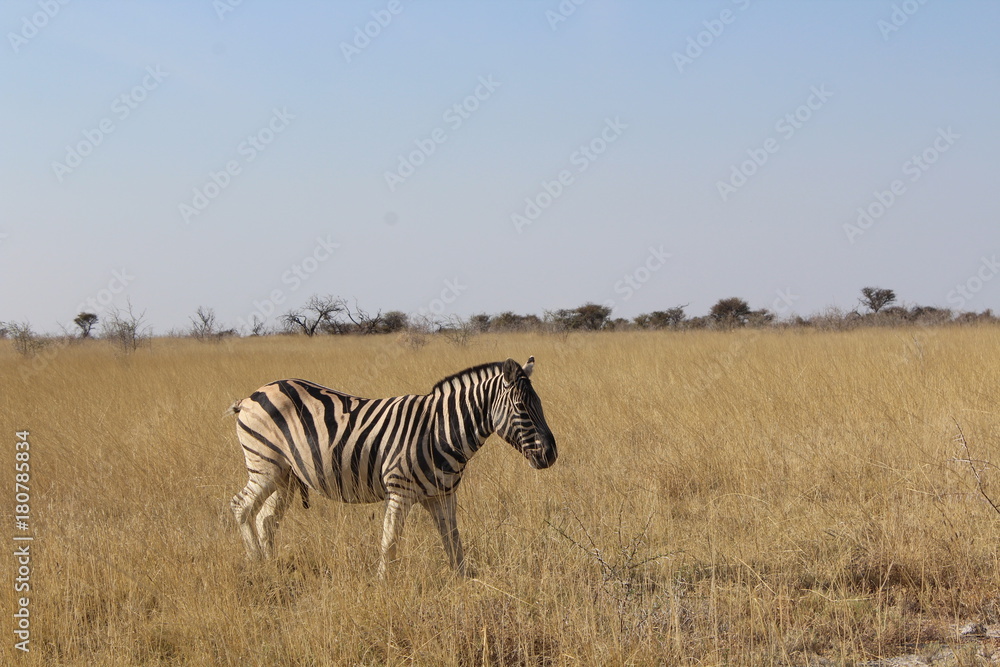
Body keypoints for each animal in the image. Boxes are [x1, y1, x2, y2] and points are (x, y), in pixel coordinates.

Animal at [228, 356, 556, 577]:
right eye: (521, 407)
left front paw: (463, 581)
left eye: (539, 404)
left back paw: (271, 567)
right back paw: (255, 562)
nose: (551, 454)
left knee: (266, 519)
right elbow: (390, 541)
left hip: (286, 475)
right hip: (264, 465)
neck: (439, 431)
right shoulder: (399, 490)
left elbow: (453, 541)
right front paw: (383, 584)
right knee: (241, 506)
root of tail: (251, 396)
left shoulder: (443, 495)